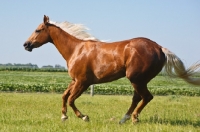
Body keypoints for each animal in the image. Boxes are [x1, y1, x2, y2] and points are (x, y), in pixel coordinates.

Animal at [23, 15, 200, 124]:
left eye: (38, 30)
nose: (26, 44)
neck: (76, 50)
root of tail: (159, 48)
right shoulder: (75, 80)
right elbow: (65, 95)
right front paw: (63, 116)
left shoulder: (83, 82)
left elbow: (72, 99)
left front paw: (84, 117)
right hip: (140, 80)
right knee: (138, 98)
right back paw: (123, 119)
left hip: (136, 79)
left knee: (146, 97)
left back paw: (134, 118)